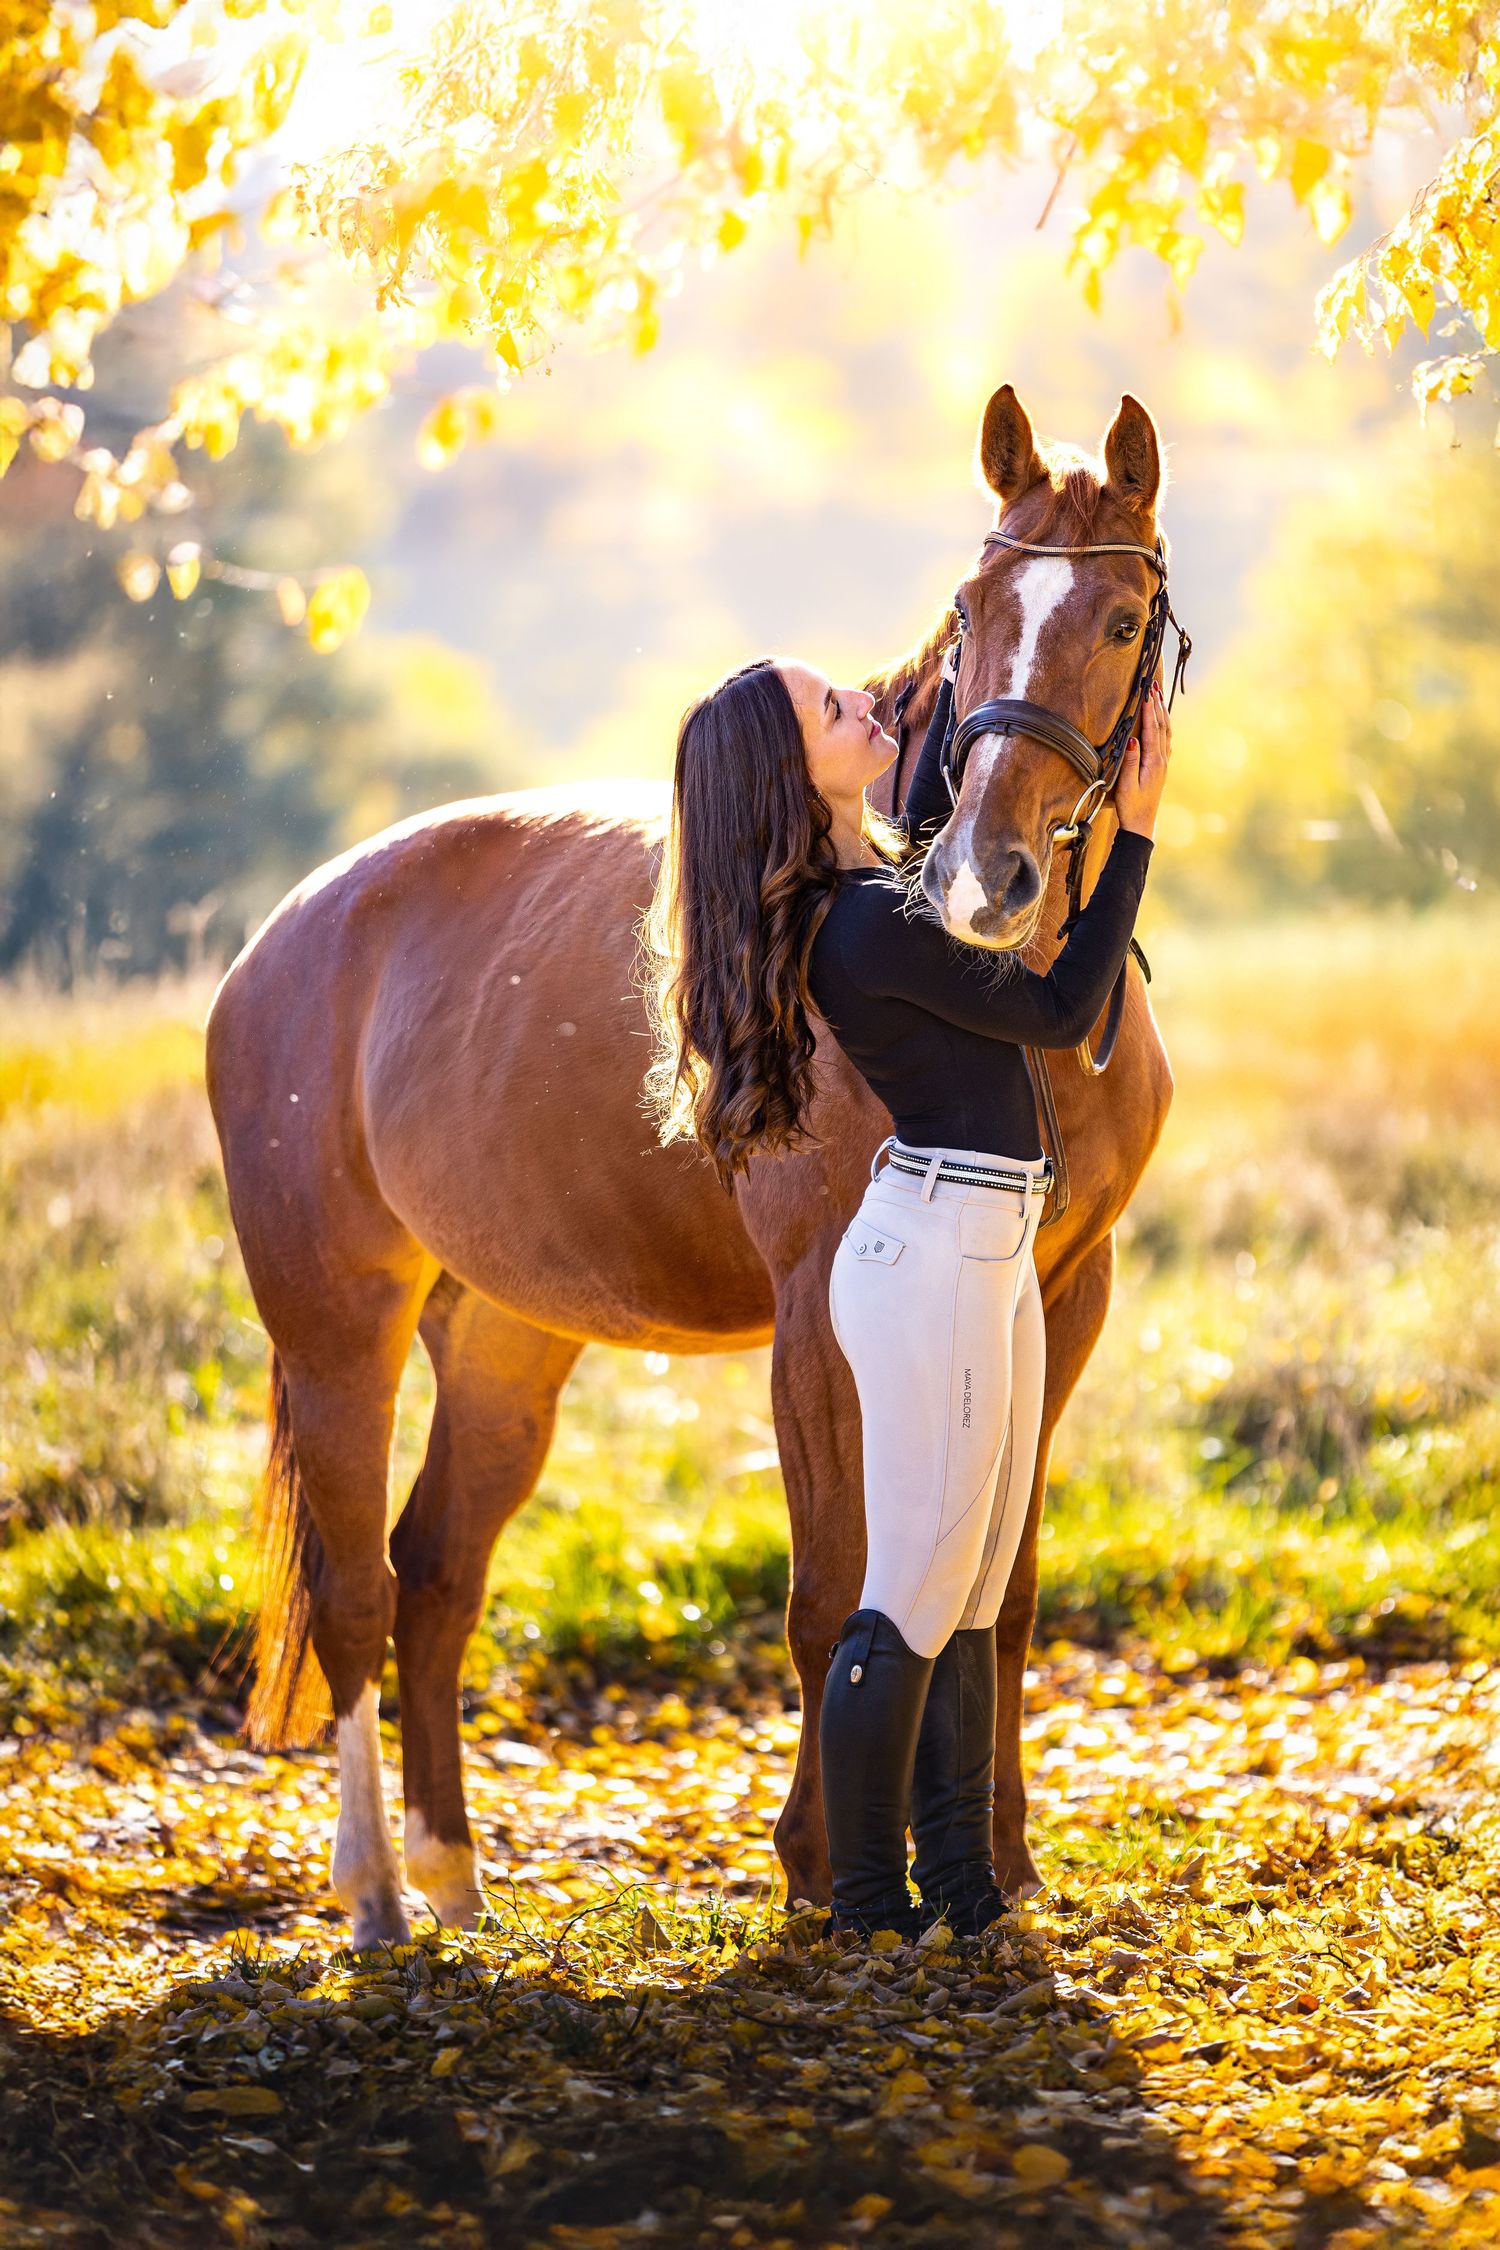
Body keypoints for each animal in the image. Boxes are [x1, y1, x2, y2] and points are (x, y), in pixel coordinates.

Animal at [205, 384, 1175, 1948]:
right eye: (972, 609)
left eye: (1123, 618)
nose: (986, 880)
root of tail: (283, 936)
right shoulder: (819, 1314)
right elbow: (832, 1586)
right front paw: (821, 1870)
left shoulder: (1063, 1302)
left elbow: (1003, 1590)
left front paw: (1009, 1867)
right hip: (337, 1327)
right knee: (353, 1591)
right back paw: (376, 1895)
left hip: (506, 1341)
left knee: (435, 1576)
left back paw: (453, 1872)